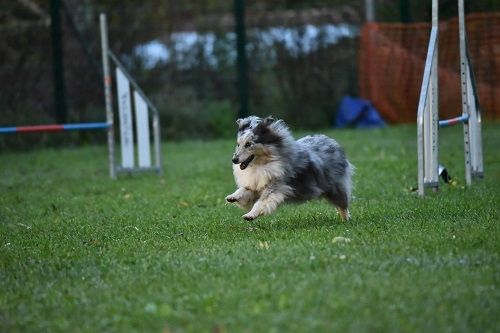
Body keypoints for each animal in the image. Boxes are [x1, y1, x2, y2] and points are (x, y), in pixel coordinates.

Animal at [225, 116, 354, 220]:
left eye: (248, 144)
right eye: (238, 144)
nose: (234, 160)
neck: (262, 164)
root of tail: (332, 141)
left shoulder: (275, 187)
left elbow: (261, 202)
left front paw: (250, 215)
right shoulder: (257, 183)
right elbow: (244, 189)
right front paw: (232, 197)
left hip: (335, 188)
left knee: (343, 205)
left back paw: (345, 220)